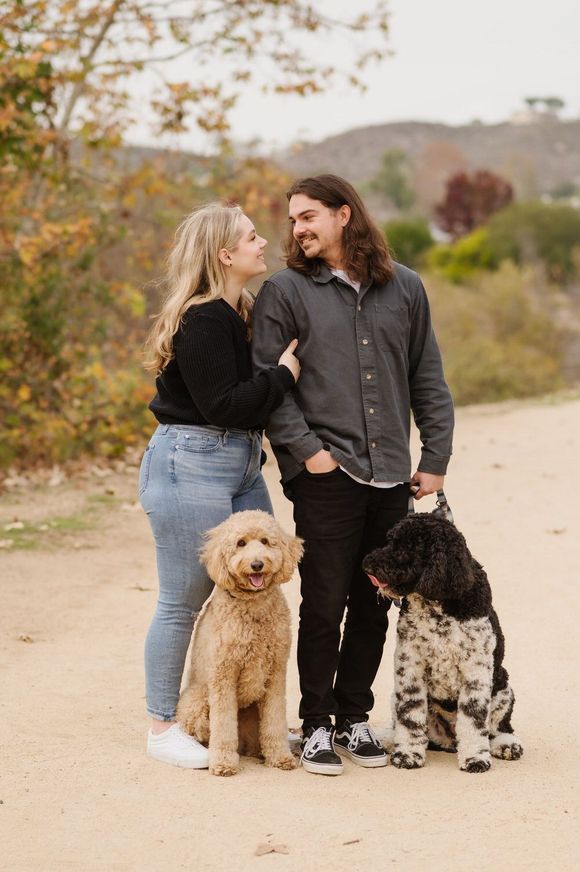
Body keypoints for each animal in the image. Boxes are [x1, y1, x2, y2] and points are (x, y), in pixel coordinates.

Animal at [362, 516, 520, 772]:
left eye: (406, 549)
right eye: (390, 540)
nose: (367, 564)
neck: (438, 604)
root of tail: (449, 741)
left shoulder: (476, 670)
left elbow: (474, 718)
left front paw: (475, 758)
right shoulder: (409, 665)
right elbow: (409, 714)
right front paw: (407, 754)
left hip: (503, 687)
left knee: (499, 727)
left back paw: (506, 745)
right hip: (396, 696)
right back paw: (389, 740)